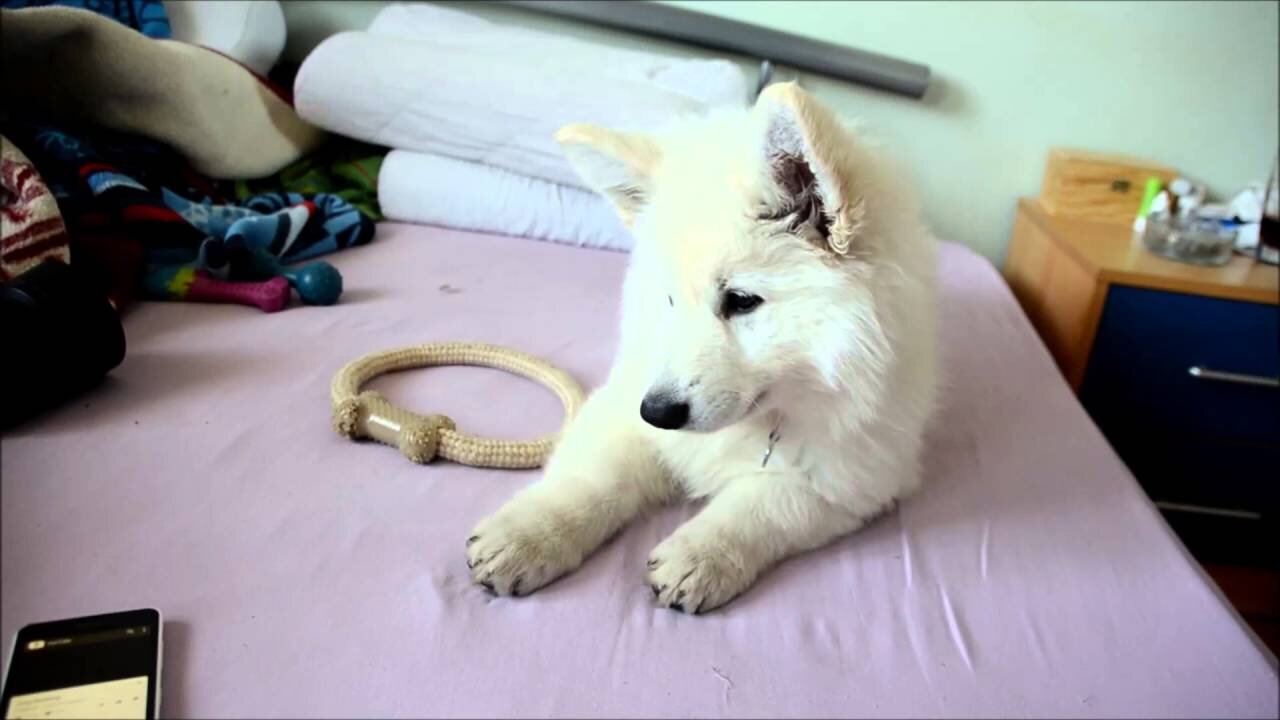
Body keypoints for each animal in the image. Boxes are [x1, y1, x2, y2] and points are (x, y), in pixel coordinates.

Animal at [465, 82, 936, 609]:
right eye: (669, 299)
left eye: (741, 301)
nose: (658, 412)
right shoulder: (624, 405)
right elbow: (594, 477)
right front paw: (528, 534)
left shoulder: (856, 476)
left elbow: (764, 506)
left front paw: (701, 556)